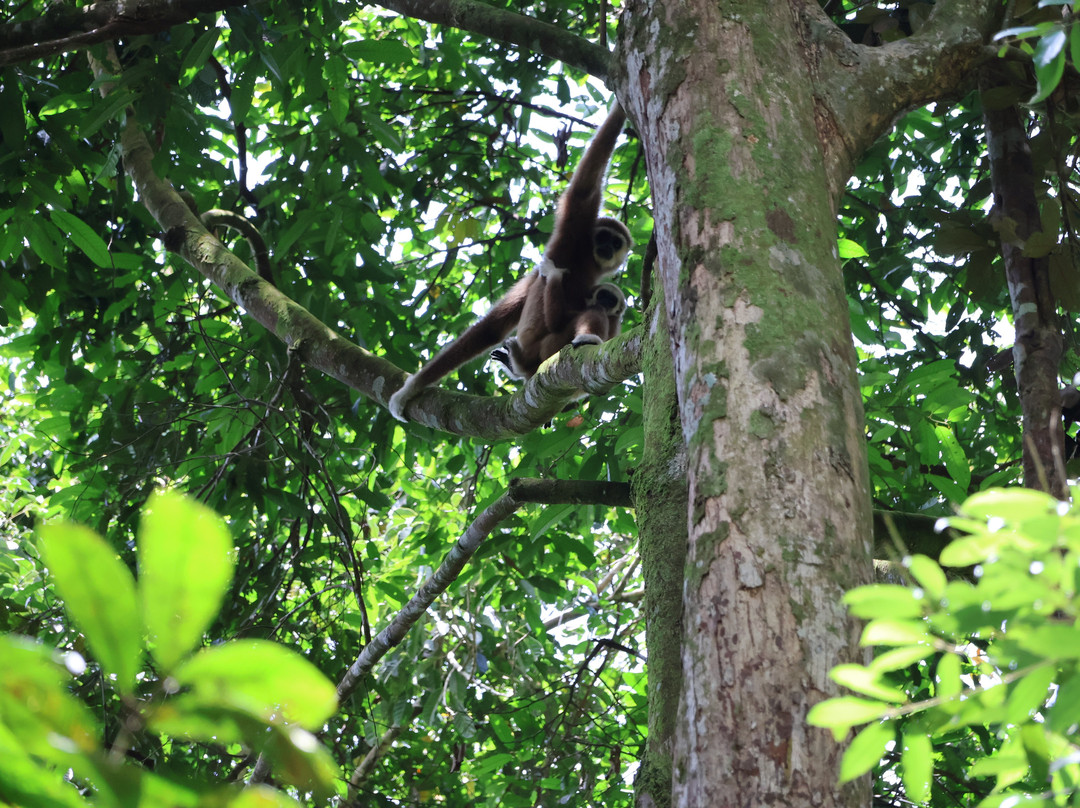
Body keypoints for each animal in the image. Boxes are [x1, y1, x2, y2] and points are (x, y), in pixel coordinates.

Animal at [388, 103, 631, 422]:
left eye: (615, 243)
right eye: (603, 237)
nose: (605, 247)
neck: (587, 259)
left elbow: (495, 326)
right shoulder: (572, 234)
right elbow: (584, 189)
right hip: (545, 349)